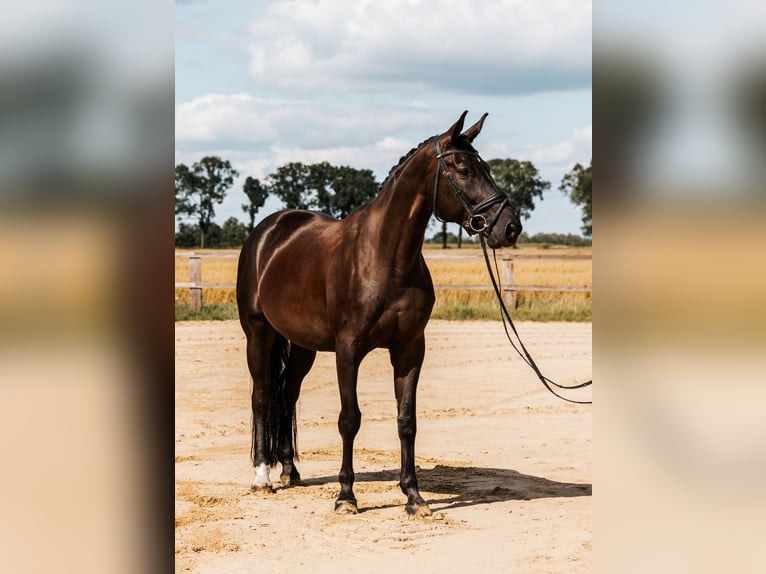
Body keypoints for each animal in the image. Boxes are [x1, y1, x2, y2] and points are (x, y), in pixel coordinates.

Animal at [237, 111, 524, 516]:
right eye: (464, 169)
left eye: (487, 168)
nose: (510, 226)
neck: (385, 256)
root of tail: (268, 231)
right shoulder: (348, 349)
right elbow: (349, 419)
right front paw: (346, 496)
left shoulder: (409, 348)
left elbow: (407, 420)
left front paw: (414, 497)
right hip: (259, 333)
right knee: (262, 395)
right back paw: (262, 476)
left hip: (303, 345)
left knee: (287, 395)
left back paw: (290, 471)